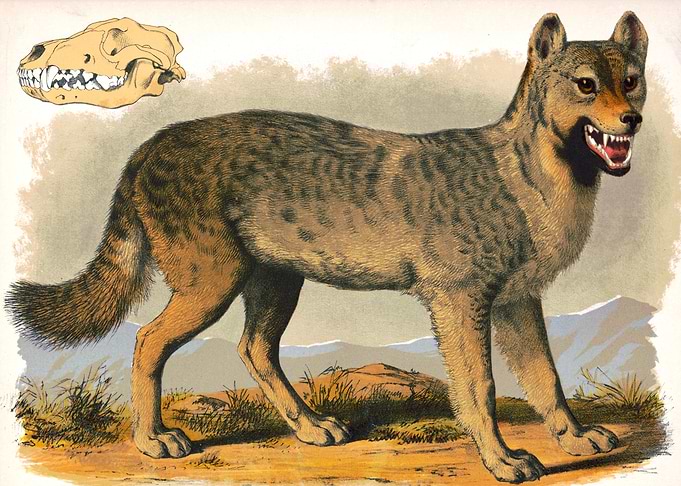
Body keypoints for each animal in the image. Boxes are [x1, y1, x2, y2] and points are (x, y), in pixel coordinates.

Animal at [7, 11, 647, 483]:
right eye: (585, 84)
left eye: (632, 81)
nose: (633, 120)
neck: (532, 175)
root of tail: (152, 142)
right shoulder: (460, 300)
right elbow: (480, 388)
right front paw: (503, 460)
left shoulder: (517, 301)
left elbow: (546, 378)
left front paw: (574, 437)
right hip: (212, 283)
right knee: (147, 341)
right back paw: (152, 440)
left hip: (275, 281)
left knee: (253, 350)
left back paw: (311, 428)